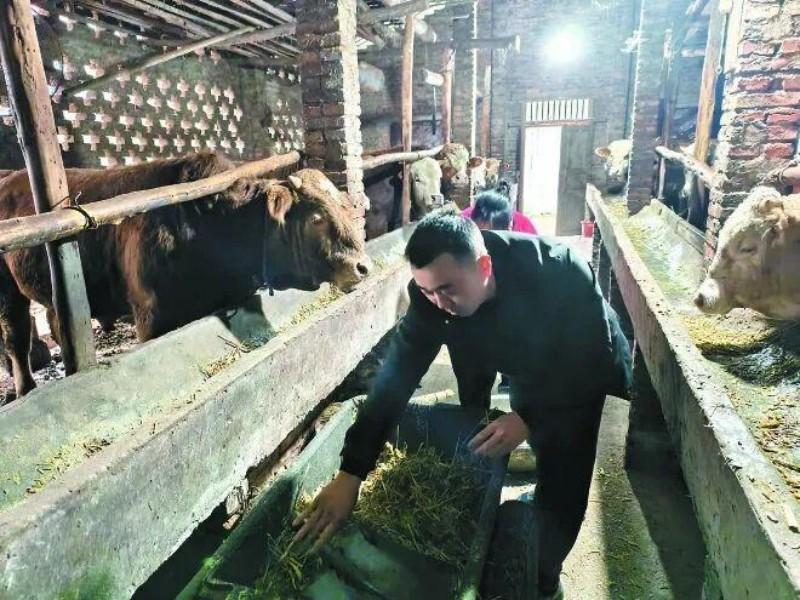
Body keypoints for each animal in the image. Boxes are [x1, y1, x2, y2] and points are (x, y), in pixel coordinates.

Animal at [0, 152, 371, 396]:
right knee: (17, 337)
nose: (362, 266)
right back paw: (25, 389)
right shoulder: (151, 317)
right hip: (9, 294)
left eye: (344, 205)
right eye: (316, 217)